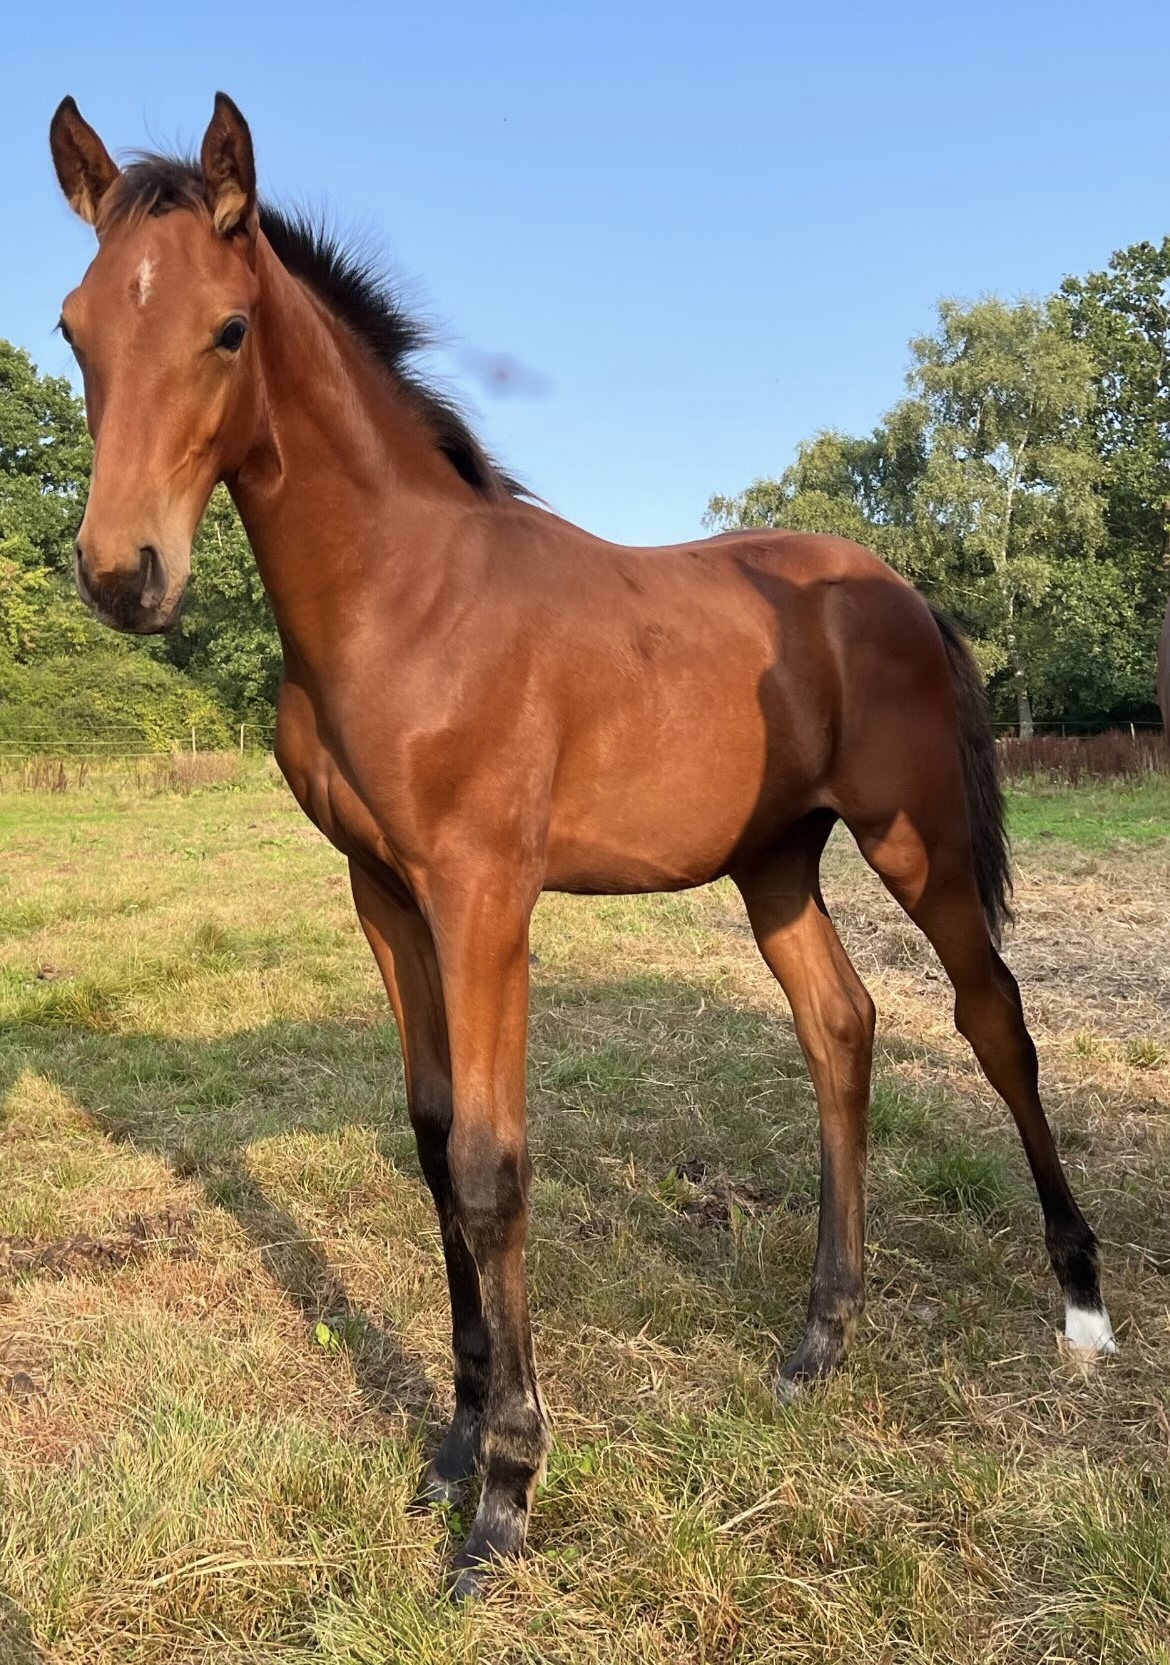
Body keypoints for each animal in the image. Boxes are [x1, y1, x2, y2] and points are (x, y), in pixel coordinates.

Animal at [49, 92, 1116, 1598]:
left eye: (229, 329)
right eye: (76, 327)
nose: (121, 574)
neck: (404, 598)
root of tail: (897, 586)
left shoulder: (485, 896)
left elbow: (492, 1168)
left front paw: (504, 1497)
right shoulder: (384, 898)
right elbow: (434, 1142)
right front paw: (449, 1445)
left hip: (918, 845)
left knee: (993, 1019)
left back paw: (1080, 1305)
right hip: (774, 862)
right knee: (840, 1029)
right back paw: (820, 1337)